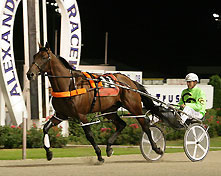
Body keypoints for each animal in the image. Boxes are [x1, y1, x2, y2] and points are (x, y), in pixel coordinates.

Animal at [26, 42, 163, 164]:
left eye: (44, 57)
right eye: (34, 56)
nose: (29, 74)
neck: (68, 85)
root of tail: (130, 81)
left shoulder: (81, 115)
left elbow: (90, 135)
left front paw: (99, 156)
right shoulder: (60, 114)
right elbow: (45, 128)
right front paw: (49, 153)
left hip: (134, 107)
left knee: (145, 126)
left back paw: (156, 149)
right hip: (109, 110)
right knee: (121, 124)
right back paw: (109, 147)